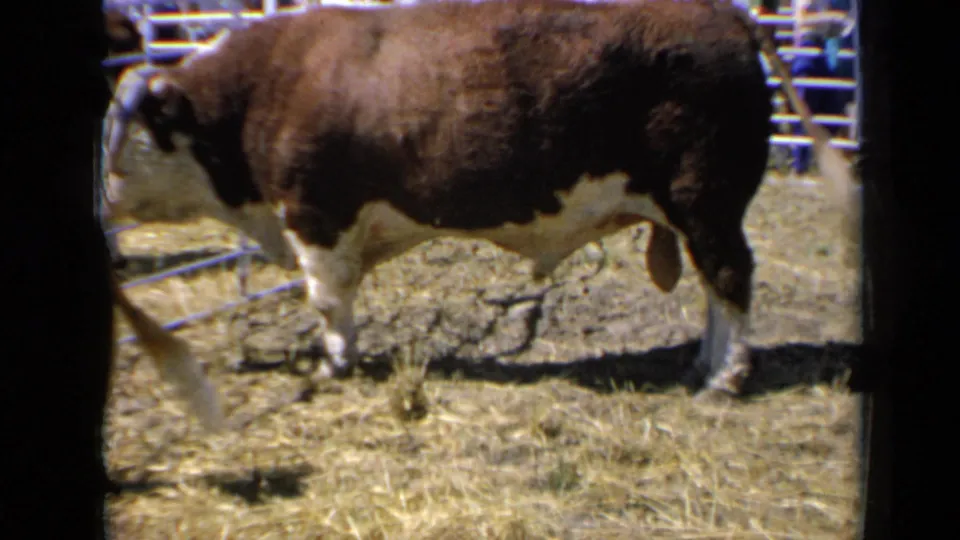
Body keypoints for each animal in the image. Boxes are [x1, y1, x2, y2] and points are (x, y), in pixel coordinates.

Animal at [101, 0, 859, 422]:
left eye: (120, 128)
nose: (101, 199)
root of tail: (725, 14)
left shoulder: (317, 214)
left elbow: (328, 300)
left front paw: (335, 364)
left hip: (707, 202)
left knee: (731, 280)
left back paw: (725, 380)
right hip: (696, 212)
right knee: (713, 289)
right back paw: (703, 366)